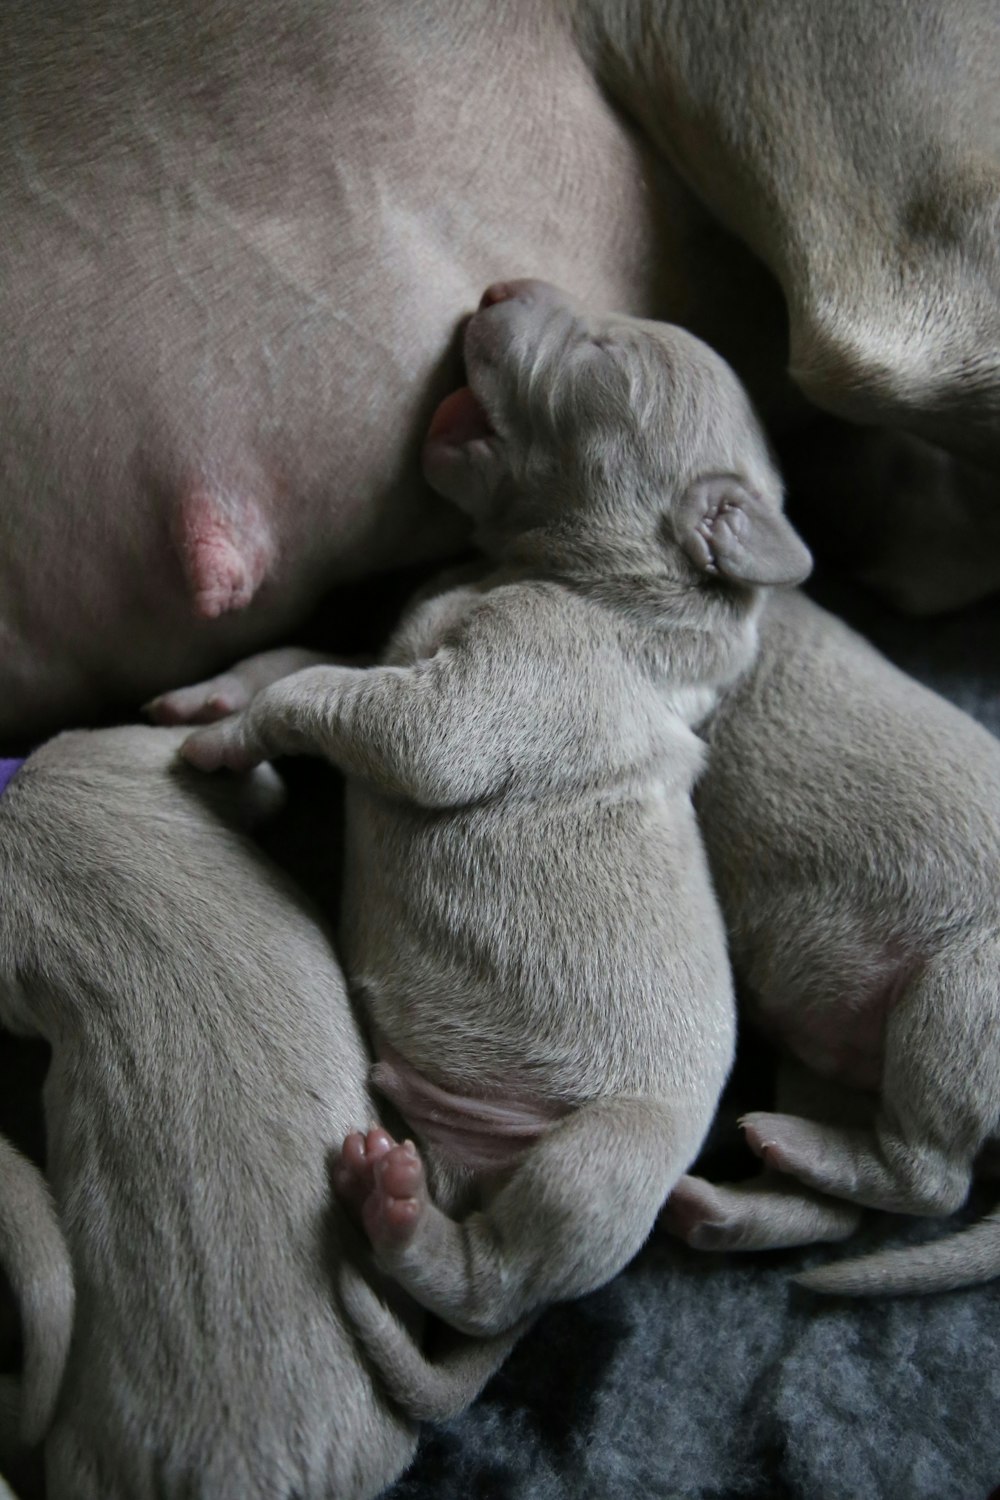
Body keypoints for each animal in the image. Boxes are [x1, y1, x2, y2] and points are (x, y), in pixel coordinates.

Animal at [179, 279, 815, 1338]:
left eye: (601, 355)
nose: (498, 287)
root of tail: (458, 1162)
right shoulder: (393, 652)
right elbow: (312, 660)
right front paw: (212, 695)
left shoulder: (499, 685)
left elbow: (345, 703)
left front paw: (232, 736)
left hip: (602, 1163)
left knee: (501, 1275)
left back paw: (399, 1220)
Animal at [668, 591, 1000, 1296]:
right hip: (826, 1045)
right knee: (832, 1213)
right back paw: (706, 1202)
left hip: (957, 996)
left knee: (932, 1181)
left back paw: (773, 1144)